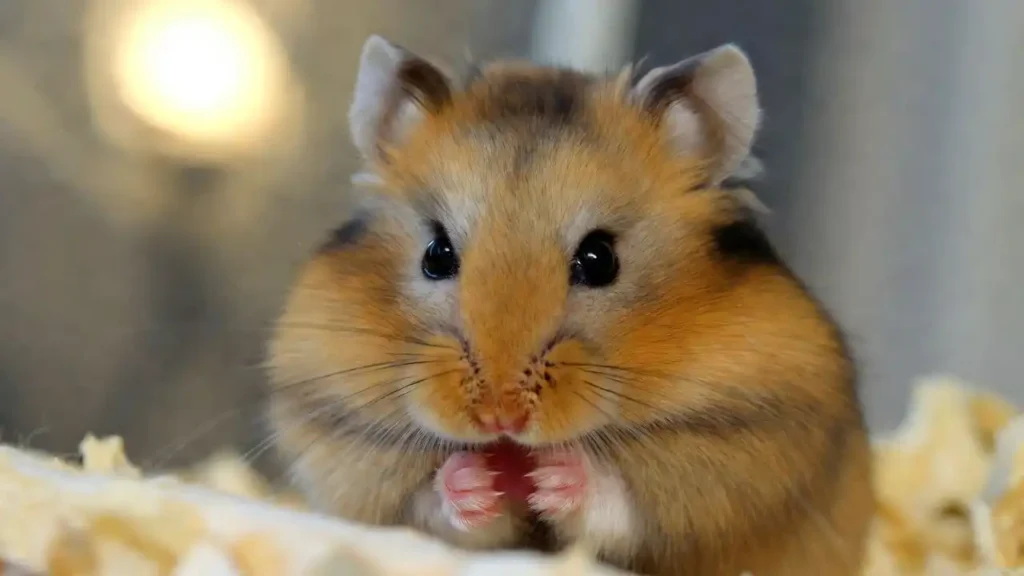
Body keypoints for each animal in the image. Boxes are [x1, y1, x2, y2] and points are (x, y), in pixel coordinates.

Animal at [266, 35, 874, 576]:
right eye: (436, 255)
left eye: (600, 259)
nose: (501, 418)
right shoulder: (347, 456)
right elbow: (428, 505)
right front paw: (481, 481)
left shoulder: (737, 462)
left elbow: (621, 504)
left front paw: (553, 479)